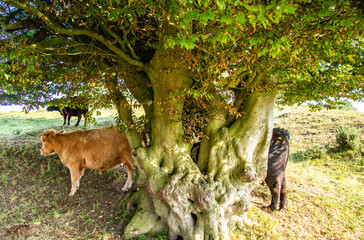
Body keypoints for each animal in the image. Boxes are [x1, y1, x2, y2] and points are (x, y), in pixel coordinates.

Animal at [0, 0, 362, 239]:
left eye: (44, 140)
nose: (40, 151)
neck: (63, 147)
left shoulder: (76, 164)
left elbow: (75, 179)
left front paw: (72, 195)